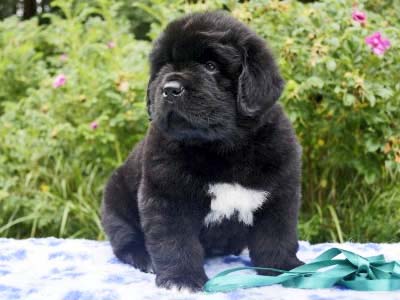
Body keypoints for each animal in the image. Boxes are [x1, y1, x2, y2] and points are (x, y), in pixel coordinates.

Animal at [101, 11, 304, 290]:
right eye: (163, 66)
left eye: (210, 66)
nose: (170, 89)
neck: (223, 147)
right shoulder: (168, 195)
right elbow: (176, 241)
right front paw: (181, 278)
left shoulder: (279, 193)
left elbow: (277, 236)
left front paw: (284, 268)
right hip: (115, 201)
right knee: (124, 238)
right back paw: (142, 257)